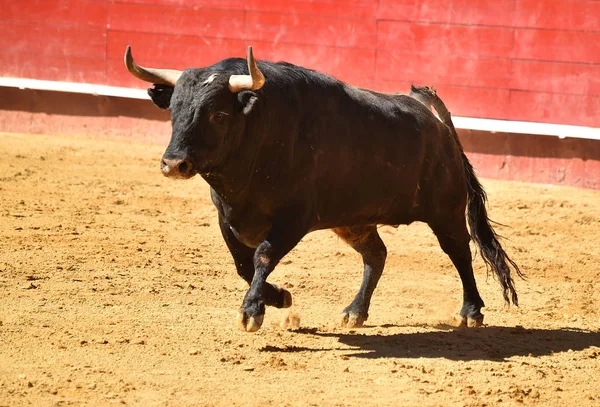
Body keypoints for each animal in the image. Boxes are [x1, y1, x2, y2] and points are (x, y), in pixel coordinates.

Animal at [123, 46, 520, 334]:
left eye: (218, 115)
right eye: (173, 110)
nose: (174, 164)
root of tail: (436, 119)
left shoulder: (293, 219)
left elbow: (262, 256)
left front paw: (252, 311)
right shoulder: (226, 217)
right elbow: (242, 264)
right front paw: (279, 298)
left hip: (446, 211)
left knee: (460, 252)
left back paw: (471, 312)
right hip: (354, 220)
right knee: (376, 255)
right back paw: (355, 312)